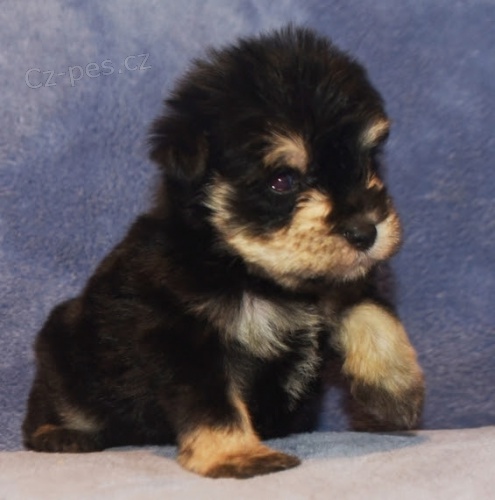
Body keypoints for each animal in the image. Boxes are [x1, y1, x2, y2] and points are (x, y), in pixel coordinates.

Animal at [23, 26, 424, 479]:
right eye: (283, 181)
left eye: (367, 161)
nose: (365, 230)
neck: (248, 269)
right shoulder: (182, 333)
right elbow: (212, 400)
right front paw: (236, 454)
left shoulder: (336, 283)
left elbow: (372, 310)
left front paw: (394, 389)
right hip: (66, 353)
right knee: (54, 402)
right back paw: (59, 433)